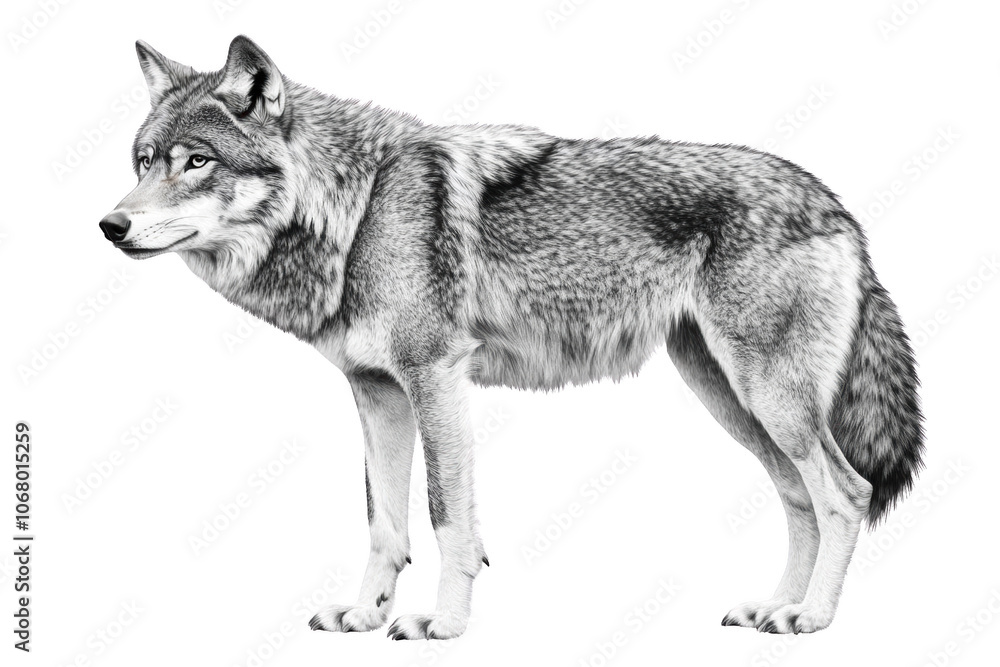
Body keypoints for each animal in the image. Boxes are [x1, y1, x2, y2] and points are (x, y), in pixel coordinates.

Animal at [99, 36, 924, 638]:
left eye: (196, 161)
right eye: (143, 161)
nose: (111, 224)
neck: (357, 210)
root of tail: (839, 206)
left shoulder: (435, 377)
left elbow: (446, 515)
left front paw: (442, 623)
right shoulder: (376, 393)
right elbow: (383, 522)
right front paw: (364, 613)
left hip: (769, 399)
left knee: (846, 491)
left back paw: (812, 616)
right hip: (735, 402)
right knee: (799, 497)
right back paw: (774, 606)